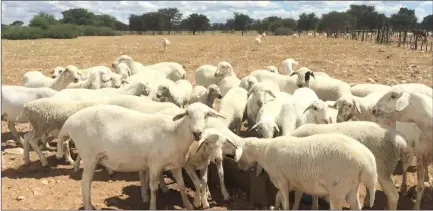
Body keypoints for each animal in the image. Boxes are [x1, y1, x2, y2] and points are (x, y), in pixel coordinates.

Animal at [56, 102, 226, 209]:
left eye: (207, 115)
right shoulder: (155, 164)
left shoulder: (176, 165)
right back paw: (89, 206)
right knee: (85, 183)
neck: (175, 133)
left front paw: (188, 205)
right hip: (89, 156)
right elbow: (153, 188)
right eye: (188, 114)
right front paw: (152, 206)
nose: (197, 133)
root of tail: (69, 122)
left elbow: (182, 186)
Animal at [231, 133, 376, 210]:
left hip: (338, 189)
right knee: (356, 205)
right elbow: (286, 197)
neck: (264, 152)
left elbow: (284, 201)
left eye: (240, 155)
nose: (240, 170)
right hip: (352, 186)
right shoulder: (295, 183)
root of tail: (366, 160)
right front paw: (278, 207)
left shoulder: (281, 180)